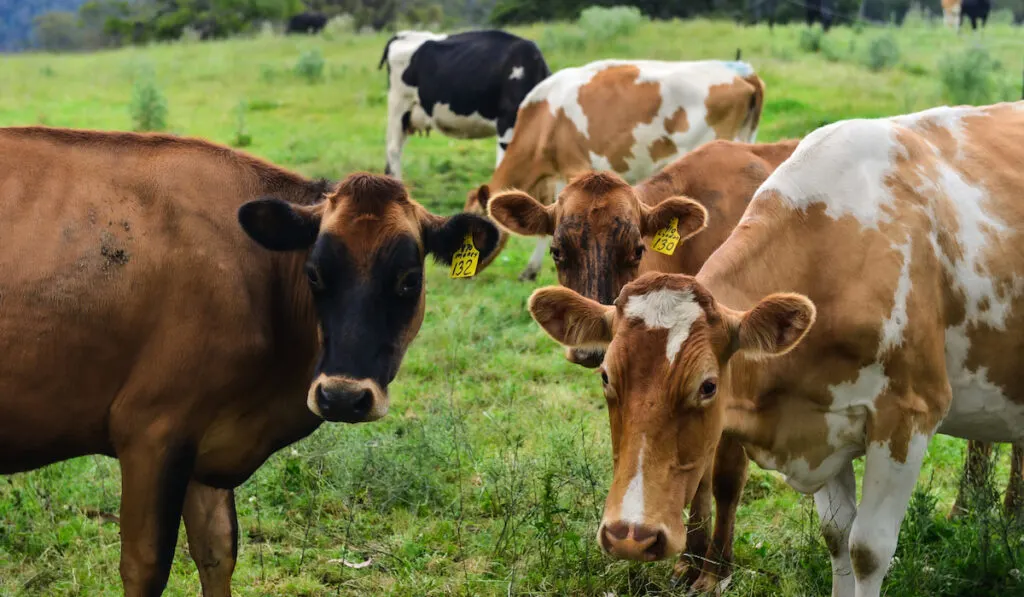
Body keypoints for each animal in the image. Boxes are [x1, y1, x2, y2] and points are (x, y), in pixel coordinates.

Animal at [0, 127, 499, 597]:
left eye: (409, 280)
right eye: (314, 274)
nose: (341, 397)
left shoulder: (203, 441)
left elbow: (219, 552)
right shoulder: (150, 431)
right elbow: (145, 567)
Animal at [487, 141, 798, 593]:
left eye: (637, 250)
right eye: (557, 251)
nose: (589, 351)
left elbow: (724, 480)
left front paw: (716, 570)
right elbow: (694, 476)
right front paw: (688, 561)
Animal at [528, 103, 1024, 597]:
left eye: (708, 386)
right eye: (608, 377)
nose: (630, 534)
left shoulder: (909, 417)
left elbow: (867, 549)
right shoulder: (821, 418)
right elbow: (837, 534)